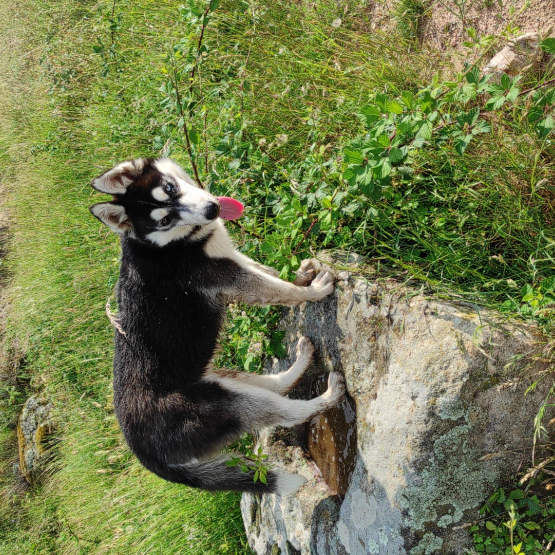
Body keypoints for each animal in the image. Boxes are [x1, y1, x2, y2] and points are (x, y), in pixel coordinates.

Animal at [89, 157, 346, 496]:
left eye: (169, 188)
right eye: (165, 219)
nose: (212, 210)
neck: (167, 244)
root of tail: (146, 456)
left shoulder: (232, 258)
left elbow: (270, 272)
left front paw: (301, 275)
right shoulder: (228, 276)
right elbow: (280, 290)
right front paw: (313, 291)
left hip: (219, 381)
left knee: (277, 385)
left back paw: (301, 361)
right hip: (222, 404)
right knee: (288, 414)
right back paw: (329, 397)